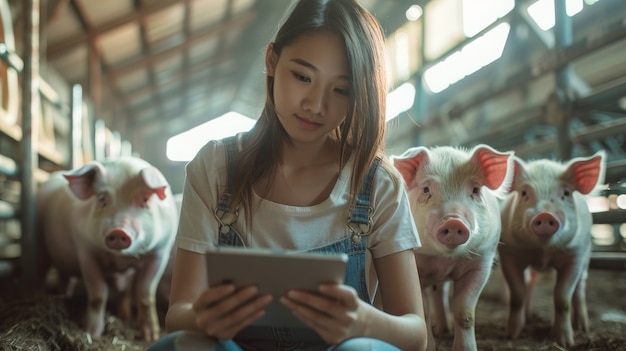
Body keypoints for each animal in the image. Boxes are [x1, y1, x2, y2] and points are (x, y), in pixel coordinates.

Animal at [36, 157, 178, 344]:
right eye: (102, 198)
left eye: (145, 198)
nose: (118, 231)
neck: (120, 259)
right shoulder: (85, 250)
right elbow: (98, 295)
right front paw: (93, 333)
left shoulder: (160, 253)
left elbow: (145, 295)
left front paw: (150, 337)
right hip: (41, 248)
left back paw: (123, 316)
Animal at [392, 144, 516, 351]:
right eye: (426, 189)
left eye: (475, 190)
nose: (453, 221)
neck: (443, 259)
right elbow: (423, 312)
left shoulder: (481, 263)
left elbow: (464, 313)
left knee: (440, 293)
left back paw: (444, 329)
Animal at [494, 152, 604, 350]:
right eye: (524, 193)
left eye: (566, 193)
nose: (545, 215)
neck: (542, 253)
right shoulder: (510, 255)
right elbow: (517, 294)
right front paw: (511, 335)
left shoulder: (574, 255)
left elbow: (562, 298)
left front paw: (565, 342)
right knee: (530, 282)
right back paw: (529, 316)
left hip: (586, 256)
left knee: (580, 286)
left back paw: (582, 326)